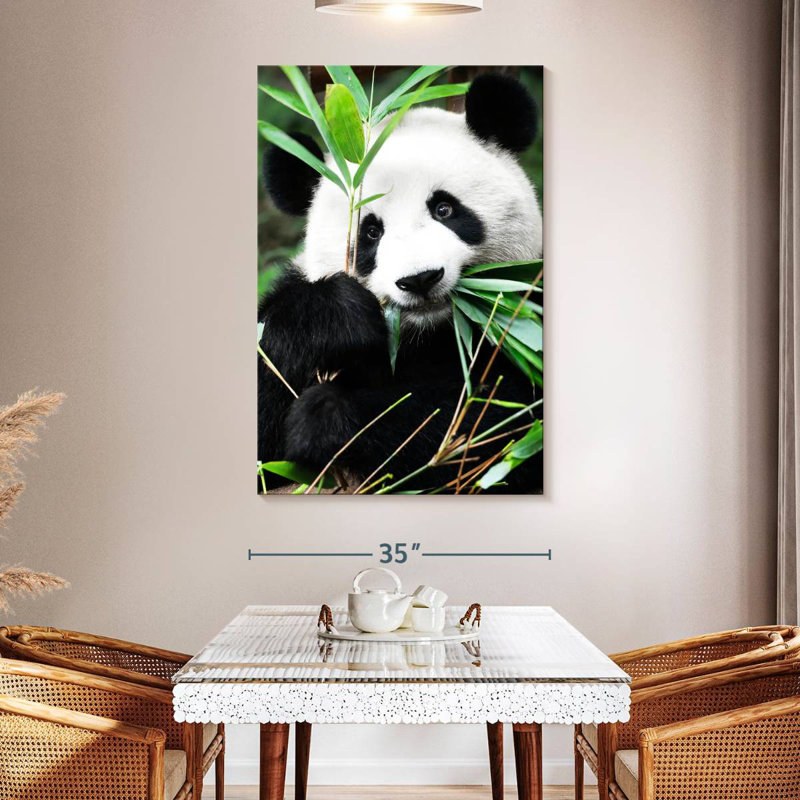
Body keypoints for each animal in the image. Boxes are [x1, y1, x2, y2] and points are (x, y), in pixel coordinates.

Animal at [258, 72, 543, 494]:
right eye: (371, 232)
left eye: (444, 208)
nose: (420, 279)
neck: (426, 335)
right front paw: (337, 317)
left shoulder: (524, 316)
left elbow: (495, 422)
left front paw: (327, 418)